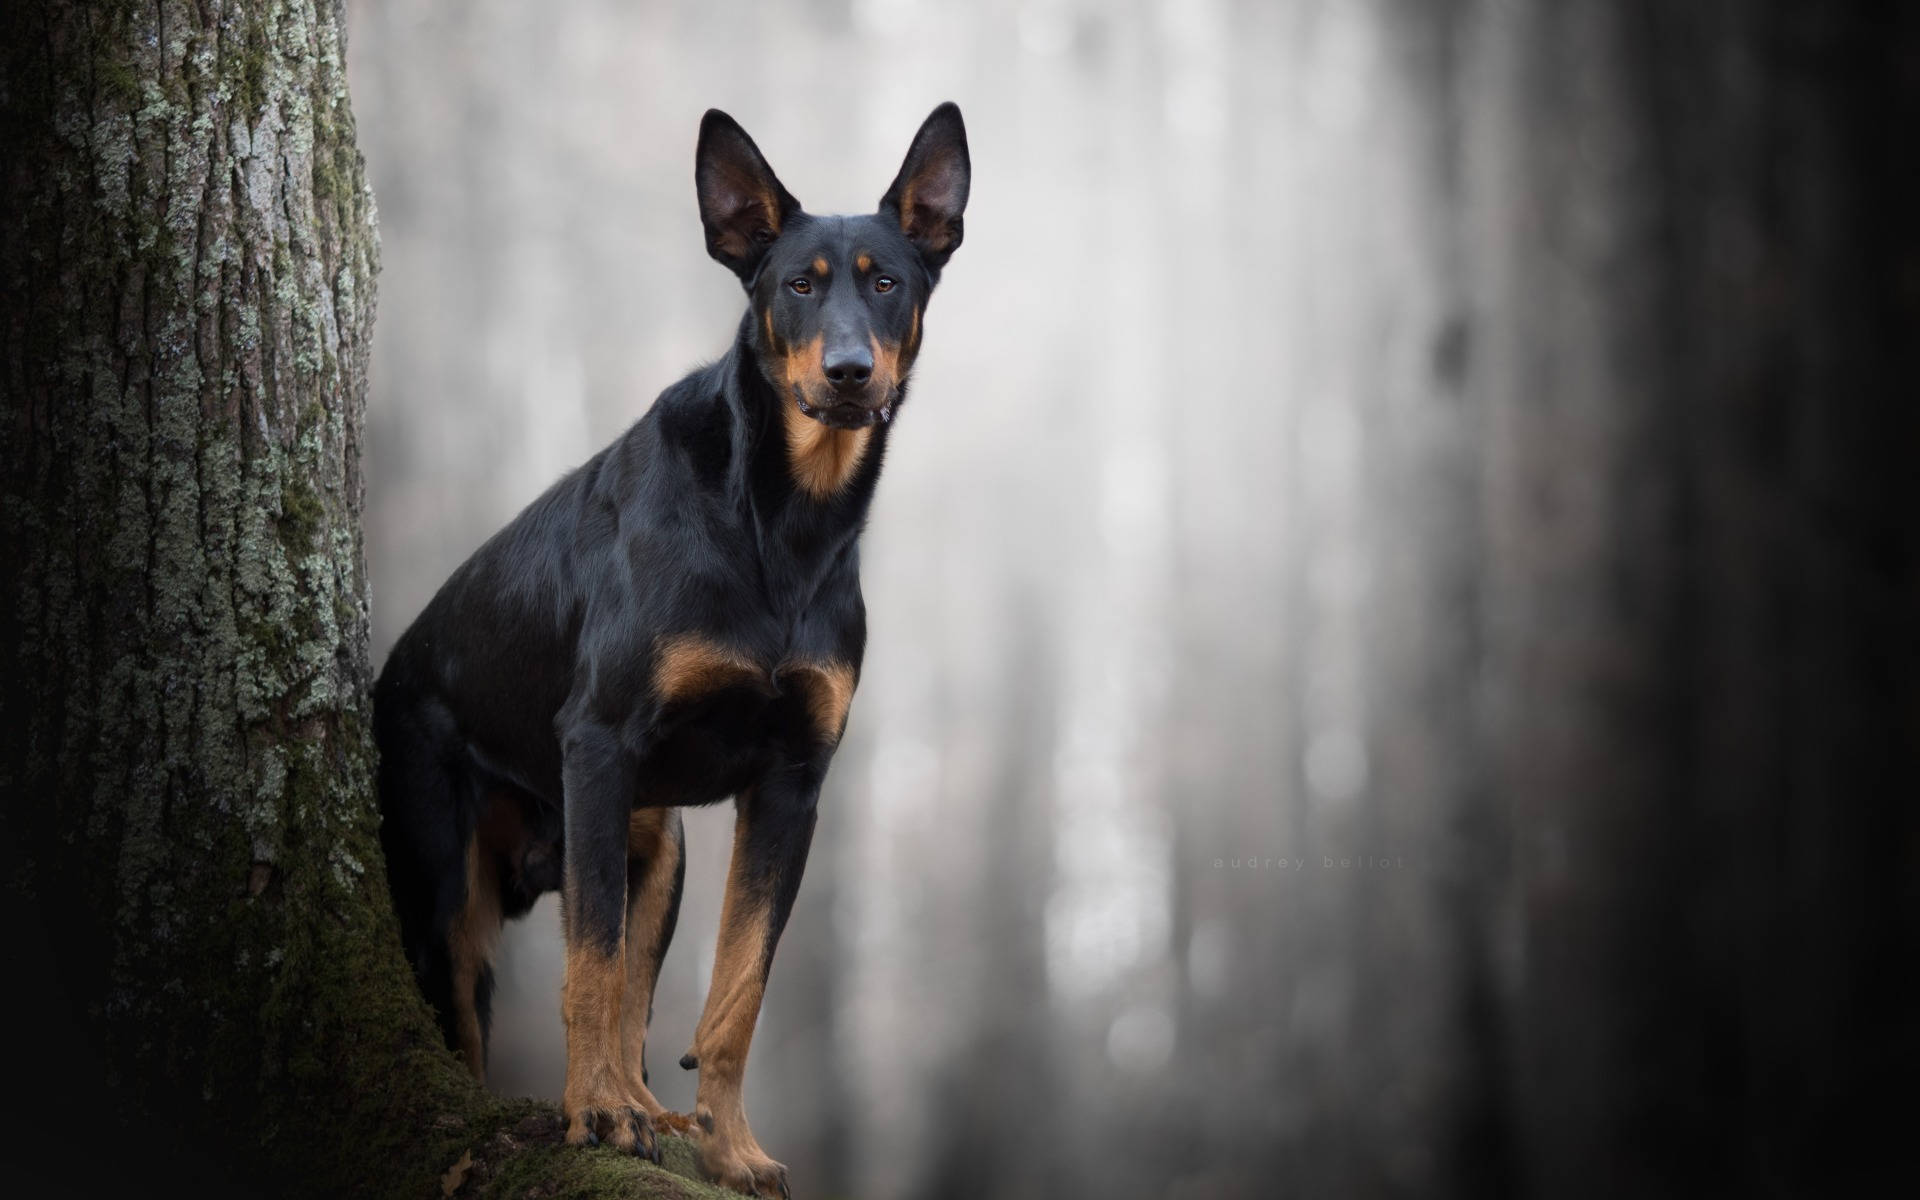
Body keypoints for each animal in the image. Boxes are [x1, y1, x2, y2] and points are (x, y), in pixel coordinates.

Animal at [370, 107, 975, 1190]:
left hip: (659, 846)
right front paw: (596, 1116)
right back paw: (610, 1104)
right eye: (798, 286)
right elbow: (590, 970)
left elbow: (735, 992)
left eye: (889, 283)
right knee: (492, 1011)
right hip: (447, 883)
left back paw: (654, 1110)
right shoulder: (600, 743)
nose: (850, 374)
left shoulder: (791, 782)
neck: (785, 526)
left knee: (636, 1000)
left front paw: (732, 1149)